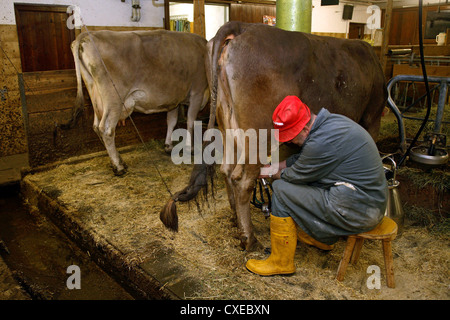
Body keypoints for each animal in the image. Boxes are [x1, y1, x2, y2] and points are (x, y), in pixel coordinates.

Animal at [66, 30, 210, 175]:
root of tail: (89, 34)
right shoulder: (197, 93)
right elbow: (191, 122)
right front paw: (190, 149)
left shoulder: (175, 99)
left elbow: (172, 121)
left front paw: (168, 146)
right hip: (114, 99)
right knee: (106, 130)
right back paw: (118, 166)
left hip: (96, 96)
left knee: (96, 126)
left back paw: (117, 159)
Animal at [162, 22, 386, 251]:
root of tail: (241, 26)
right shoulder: (373, 118)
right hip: (259, 134)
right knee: (242, 181)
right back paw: (249, 238)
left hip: (227, 125)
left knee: (227, 171)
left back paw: (236, 221)